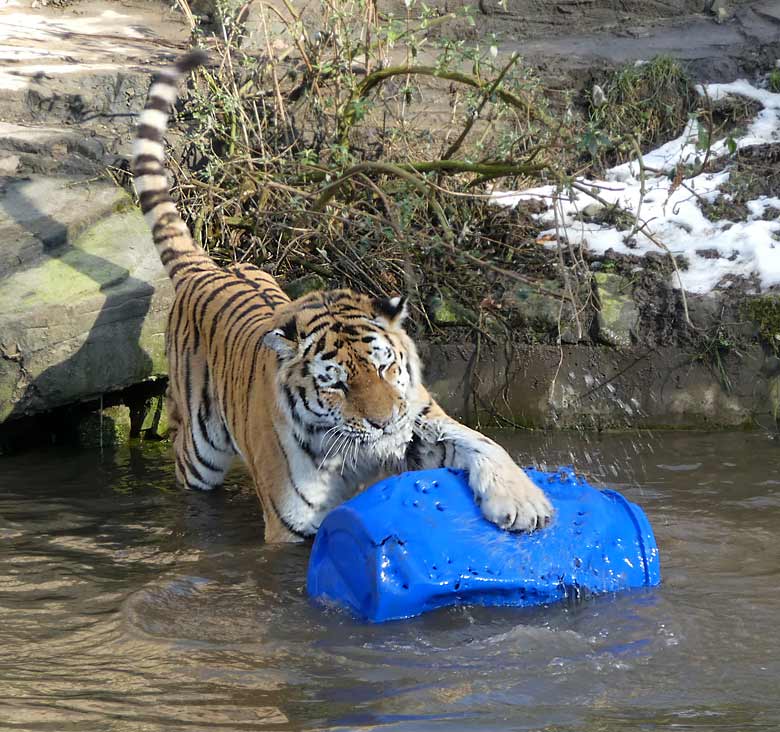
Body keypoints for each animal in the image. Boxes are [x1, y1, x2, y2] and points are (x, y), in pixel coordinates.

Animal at [131, 51, 552, 540]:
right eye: (335, 384)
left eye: (385, 368)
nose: (384, 424)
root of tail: (211, 268)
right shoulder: (290, 529)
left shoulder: (422, 423)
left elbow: (484, 443)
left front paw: (524, 503)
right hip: (198, 453)